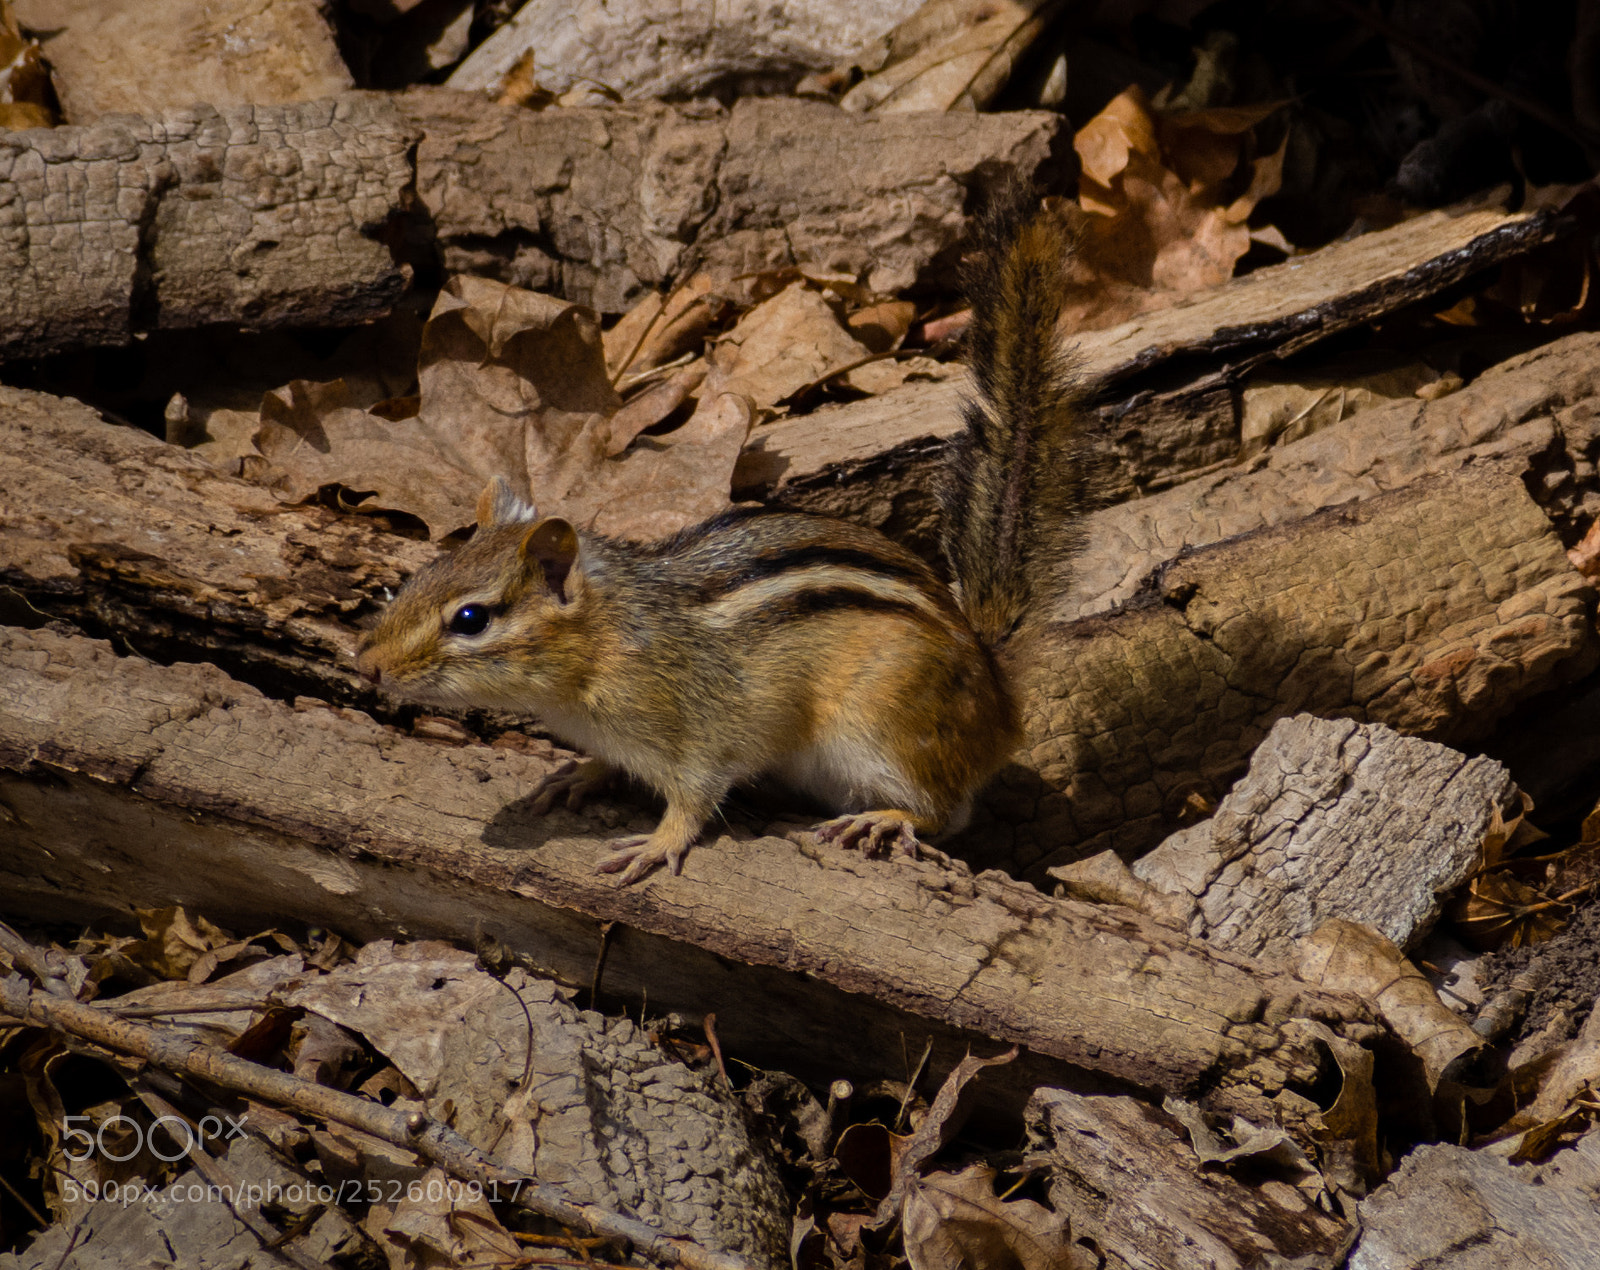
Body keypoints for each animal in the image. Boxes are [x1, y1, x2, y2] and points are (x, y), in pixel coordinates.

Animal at [356, 187, 1081, 884]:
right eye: (417, 578)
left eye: (471, 619)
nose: (367, 665)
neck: (603, 648)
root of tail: (995, 687)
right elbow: (610, 764)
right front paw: (581, 774)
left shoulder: (700, 733)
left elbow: (696, 797)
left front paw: (656, 843)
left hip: (886, 728)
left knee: (945, 812)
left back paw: (885, 818)